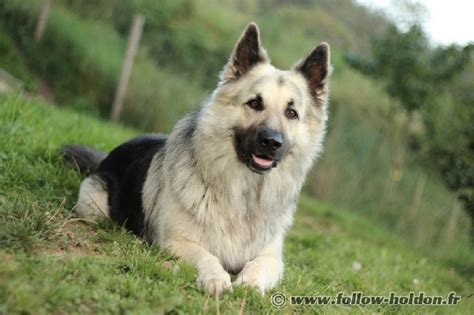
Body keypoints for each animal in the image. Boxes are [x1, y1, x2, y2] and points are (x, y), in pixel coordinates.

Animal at [63, 22, 332, 296]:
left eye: (291, 113)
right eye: (255, 103)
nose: (271, 142)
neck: (242, 192)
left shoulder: (272, 258)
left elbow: (258, 266)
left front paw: (249, 284)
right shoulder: (177, 242)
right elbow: (206, 256)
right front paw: (216, 278)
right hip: (94, 205)